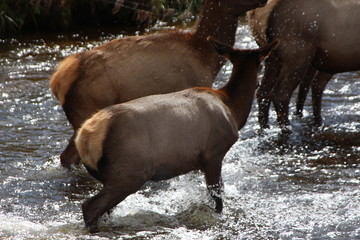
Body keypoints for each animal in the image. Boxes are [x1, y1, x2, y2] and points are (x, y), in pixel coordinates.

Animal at [75, 36, 278, 228]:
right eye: (261, 64)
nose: (259, 85)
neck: (233, 110)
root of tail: (85, 138)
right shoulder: (213, 153)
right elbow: (217, 197)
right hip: (128, 171)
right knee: (90, 207)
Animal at [248, 0, 360, 128]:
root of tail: (255, 14)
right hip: (298, 56)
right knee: (280, 94)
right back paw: (288, 128)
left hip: (273, 57)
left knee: (262, 92)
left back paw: (266, 127)